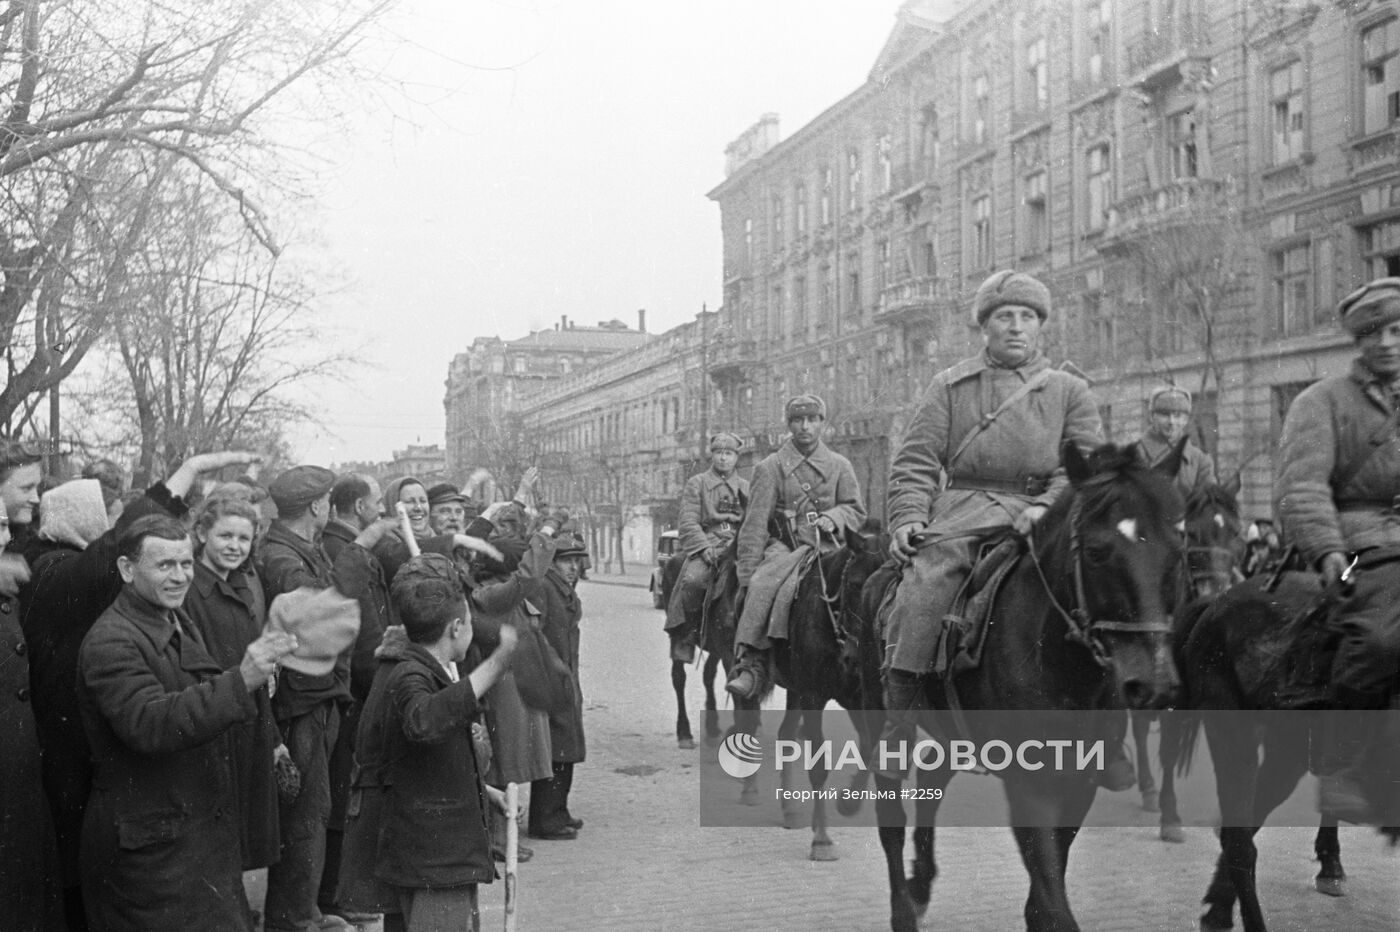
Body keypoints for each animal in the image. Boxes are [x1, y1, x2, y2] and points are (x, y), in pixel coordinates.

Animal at [851, 442, 1181, 929]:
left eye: (1177, 553)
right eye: (1097, 552)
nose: (1154, 684)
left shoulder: (1079, 782)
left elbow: (1048, 887)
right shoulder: (1030, 786)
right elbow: (1054, 899)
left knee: (932, 774)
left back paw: (921, 883)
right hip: (883, 722)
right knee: (889, 812)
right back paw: (903, 910)